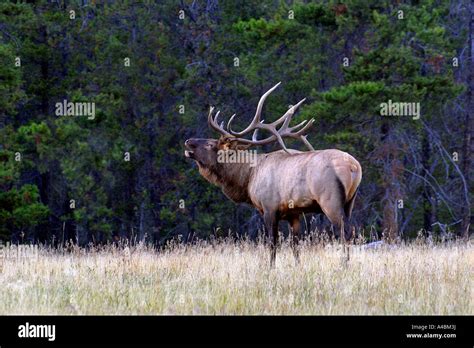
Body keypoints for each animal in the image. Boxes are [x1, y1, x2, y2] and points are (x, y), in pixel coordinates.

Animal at [185, 83, 362, 266]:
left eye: (210, 144)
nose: (188, 141)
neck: (248, 177)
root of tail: (354, 167)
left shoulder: (269, 207)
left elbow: (272, 243)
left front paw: (271, 268)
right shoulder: (294, 213)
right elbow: (295, 245)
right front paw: (298, 266)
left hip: (330, 200)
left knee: (345, 231)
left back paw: (344, 264)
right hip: (350, 201)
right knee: (351, 230)